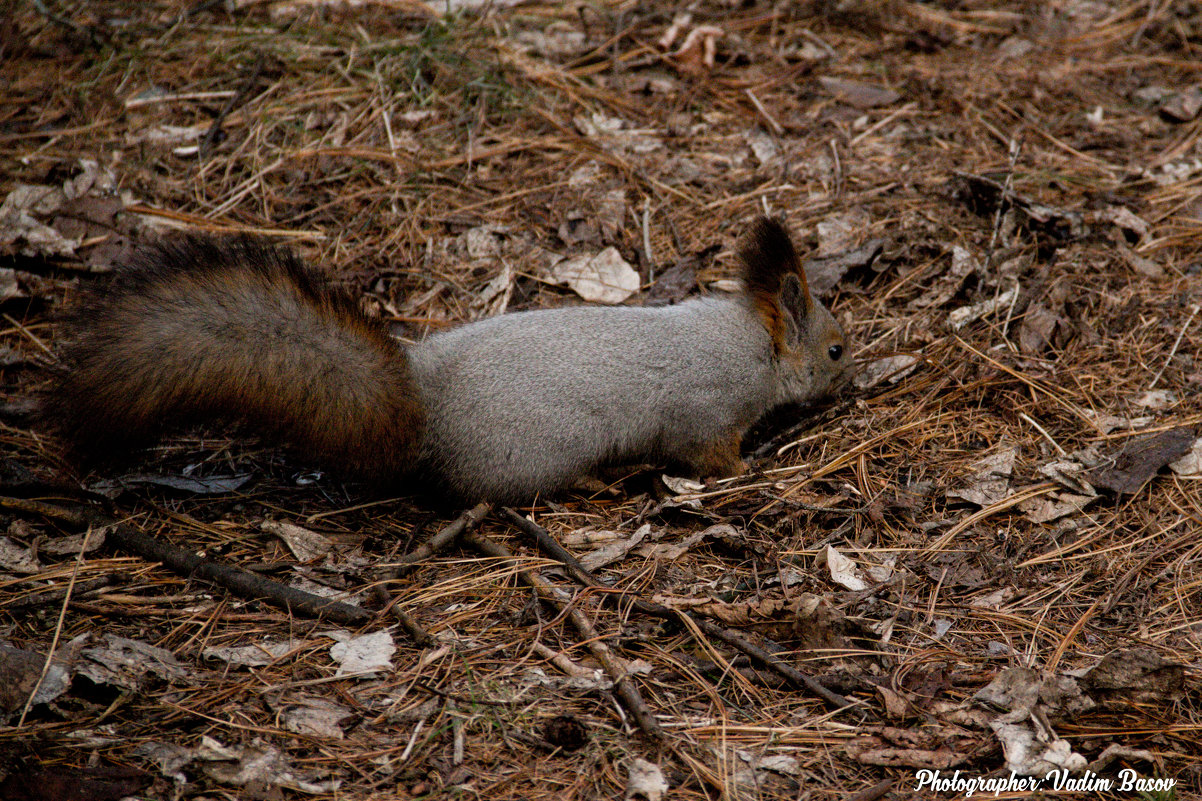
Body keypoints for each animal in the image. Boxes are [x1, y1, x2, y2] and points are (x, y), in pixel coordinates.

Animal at [46, 214, 851, 500]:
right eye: (836, 348)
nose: (853, 379)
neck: (751, 342)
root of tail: (424, 403)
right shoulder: (707, 413)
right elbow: (710, 455)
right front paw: (752, 468)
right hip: (534, 455)